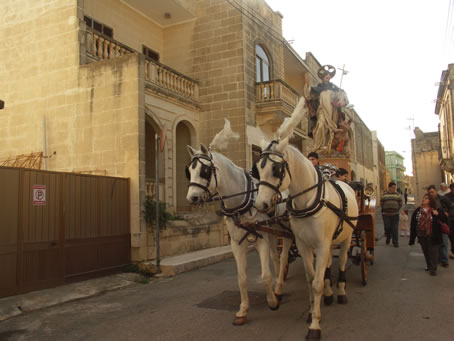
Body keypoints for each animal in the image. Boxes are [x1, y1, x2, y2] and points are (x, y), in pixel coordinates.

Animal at [184, 119, 290, 324]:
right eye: (189, 170)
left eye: (205, 170)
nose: (192, 198)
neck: (243, 200)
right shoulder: (236, 243)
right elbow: (241, 278)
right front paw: (243, 310)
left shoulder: (261, 239)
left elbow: (265, 275)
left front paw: (272, 301)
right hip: (273, 230)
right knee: (276, 257)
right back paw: (278, 287)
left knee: (284, 256)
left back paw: (280, 287)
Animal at [255, 97, 358, 338]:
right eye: (257, 169)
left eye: (276, 169)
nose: (260, 204)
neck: (308, 201)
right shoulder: (304, 244)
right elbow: (312, 279)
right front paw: (312, 312)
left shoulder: (321, 244)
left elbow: (318, 282)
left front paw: (315, 326)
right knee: (328, 264)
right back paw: (329, 293)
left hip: (347, 237)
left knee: (342, 263)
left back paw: (340, 291)